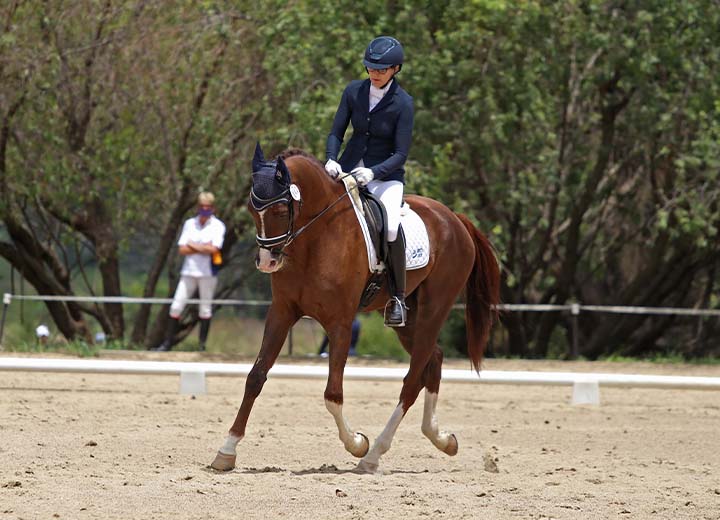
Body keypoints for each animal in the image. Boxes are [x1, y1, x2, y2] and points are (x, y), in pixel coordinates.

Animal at [210, 144, 501, 473]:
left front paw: (357, 443)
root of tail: (454, 218)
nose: (266, 262)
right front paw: (226, 450)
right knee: (434, 360)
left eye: (281, 211)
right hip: (408, 319)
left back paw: (373, 454)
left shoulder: (340, 322)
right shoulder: (282, 312)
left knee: (413, 379)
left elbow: (332, 394)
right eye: (250, 209)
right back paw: (441, 439)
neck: (315, 237)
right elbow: (255, 377)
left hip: (434, 308)